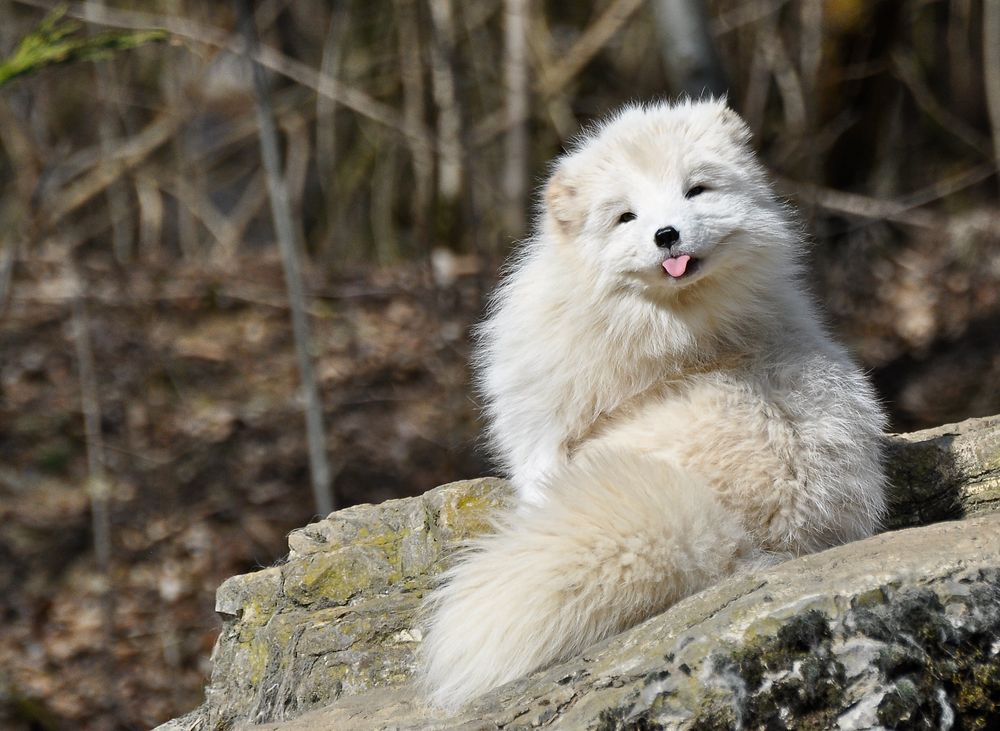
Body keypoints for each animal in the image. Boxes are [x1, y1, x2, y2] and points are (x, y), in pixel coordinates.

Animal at [418, 100, 888, 712]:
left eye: (695, 190)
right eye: (626, 216)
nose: (668, 234)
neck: (661, 325)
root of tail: (732, 534)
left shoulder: (544, 442)